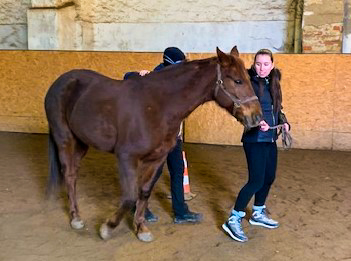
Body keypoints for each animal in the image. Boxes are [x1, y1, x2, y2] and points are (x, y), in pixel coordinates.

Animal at [44, 46, 262, 242]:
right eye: (237, 80)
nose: (257, 117)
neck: (158, 106)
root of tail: (61, 81)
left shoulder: (157, 158)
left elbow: (144, 191)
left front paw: (141, 228)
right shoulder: (126, 157)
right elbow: (129, 196)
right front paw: (107, 227)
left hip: (82, 142)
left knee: (73, 173)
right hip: (65, 139)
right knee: (69, 174)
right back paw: (76, 218)